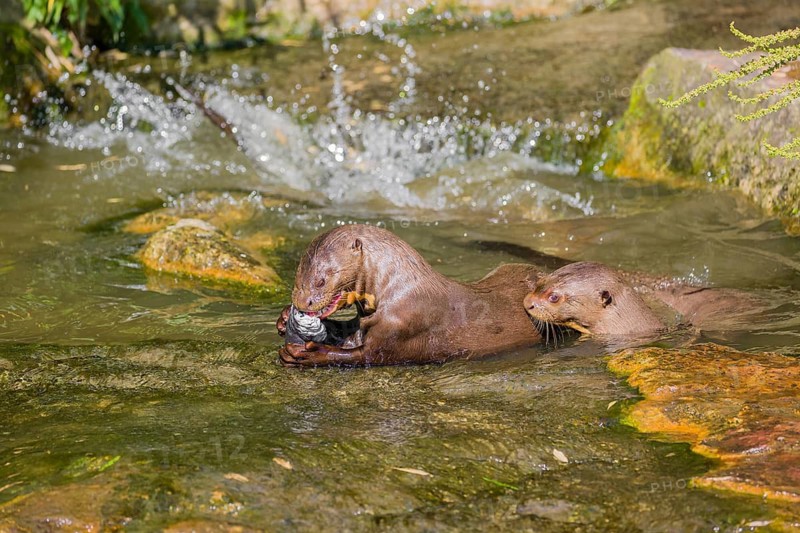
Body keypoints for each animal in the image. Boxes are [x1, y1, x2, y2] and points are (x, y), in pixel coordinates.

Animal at [276, 224, 544, 366]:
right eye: (297, 278)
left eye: (321, 281)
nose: (302, 302)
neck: (400, 291)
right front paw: (284, 318)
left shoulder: (400, 327)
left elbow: (363, 355)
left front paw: (309, 353)